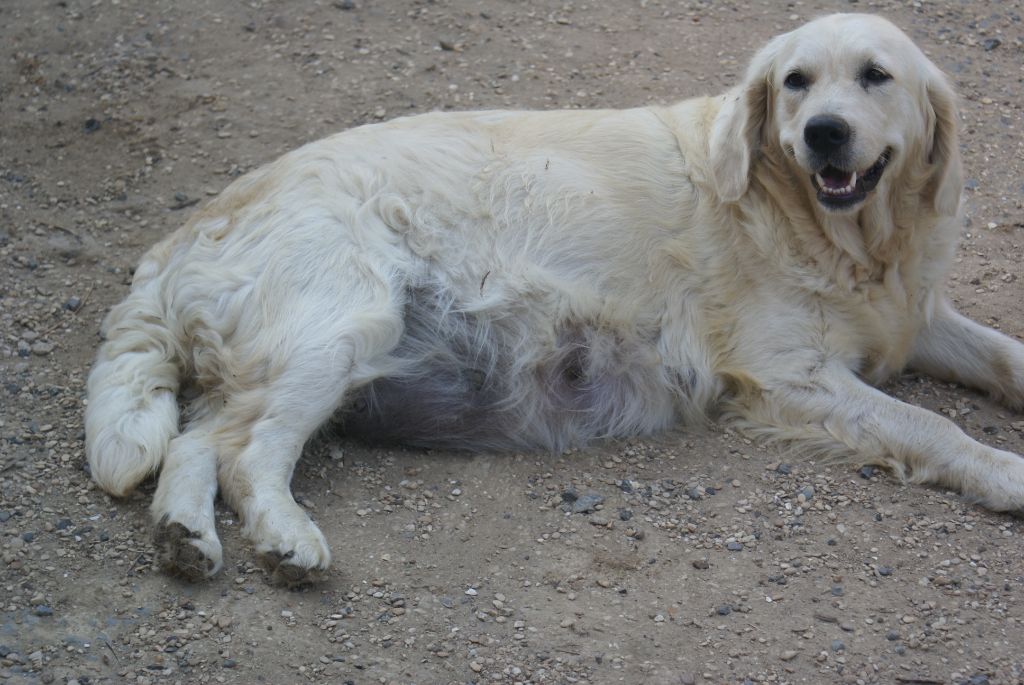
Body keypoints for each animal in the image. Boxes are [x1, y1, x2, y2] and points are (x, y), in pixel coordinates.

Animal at [83, 12, 1024, 581]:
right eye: (796, 82)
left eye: (875, 76)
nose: (824, 132)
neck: (851, 240)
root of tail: (183, 233)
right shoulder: (792, 374)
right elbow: (932, 426)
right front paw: (1005, 470)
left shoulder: (917, 319)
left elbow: (1004, 355)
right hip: (344, 323)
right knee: (246, 451)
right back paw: (284, 535)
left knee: (197, 440)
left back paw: (184, 537)